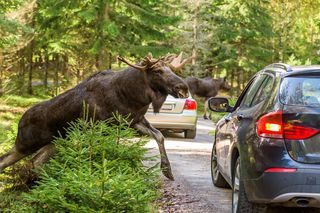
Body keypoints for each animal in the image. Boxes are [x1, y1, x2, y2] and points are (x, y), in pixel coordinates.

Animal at [0, 53, 191, 180]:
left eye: (170, 69)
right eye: (157, 70)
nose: (183, 87)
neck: (132, 96)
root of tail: (19, 123)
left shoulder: (133, 121)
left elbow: (159, 136)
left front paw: (167, 170)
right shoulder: (101, 125)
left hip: (53, 142)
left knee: (34, 161)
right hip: (26, 144)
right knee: (13, 160)